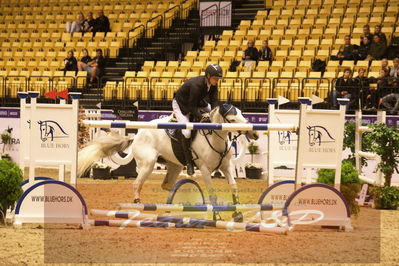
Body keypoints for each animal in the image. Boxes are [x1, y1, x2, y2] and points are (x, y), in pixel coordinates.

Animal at [78, 103, 260, 209]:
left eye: (242, 113)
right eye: (232, 119)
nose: (255, 133)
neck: (215, 136)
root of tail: (136, 135)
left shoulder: (227, 167)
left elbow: (234, 185)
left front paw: (237, 206)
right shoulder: (205, 169)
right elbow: (212, 190)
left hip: (175, 166)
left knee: (167, 185)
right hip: (148, 164)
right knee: (137, 183)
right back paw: (137, 202)